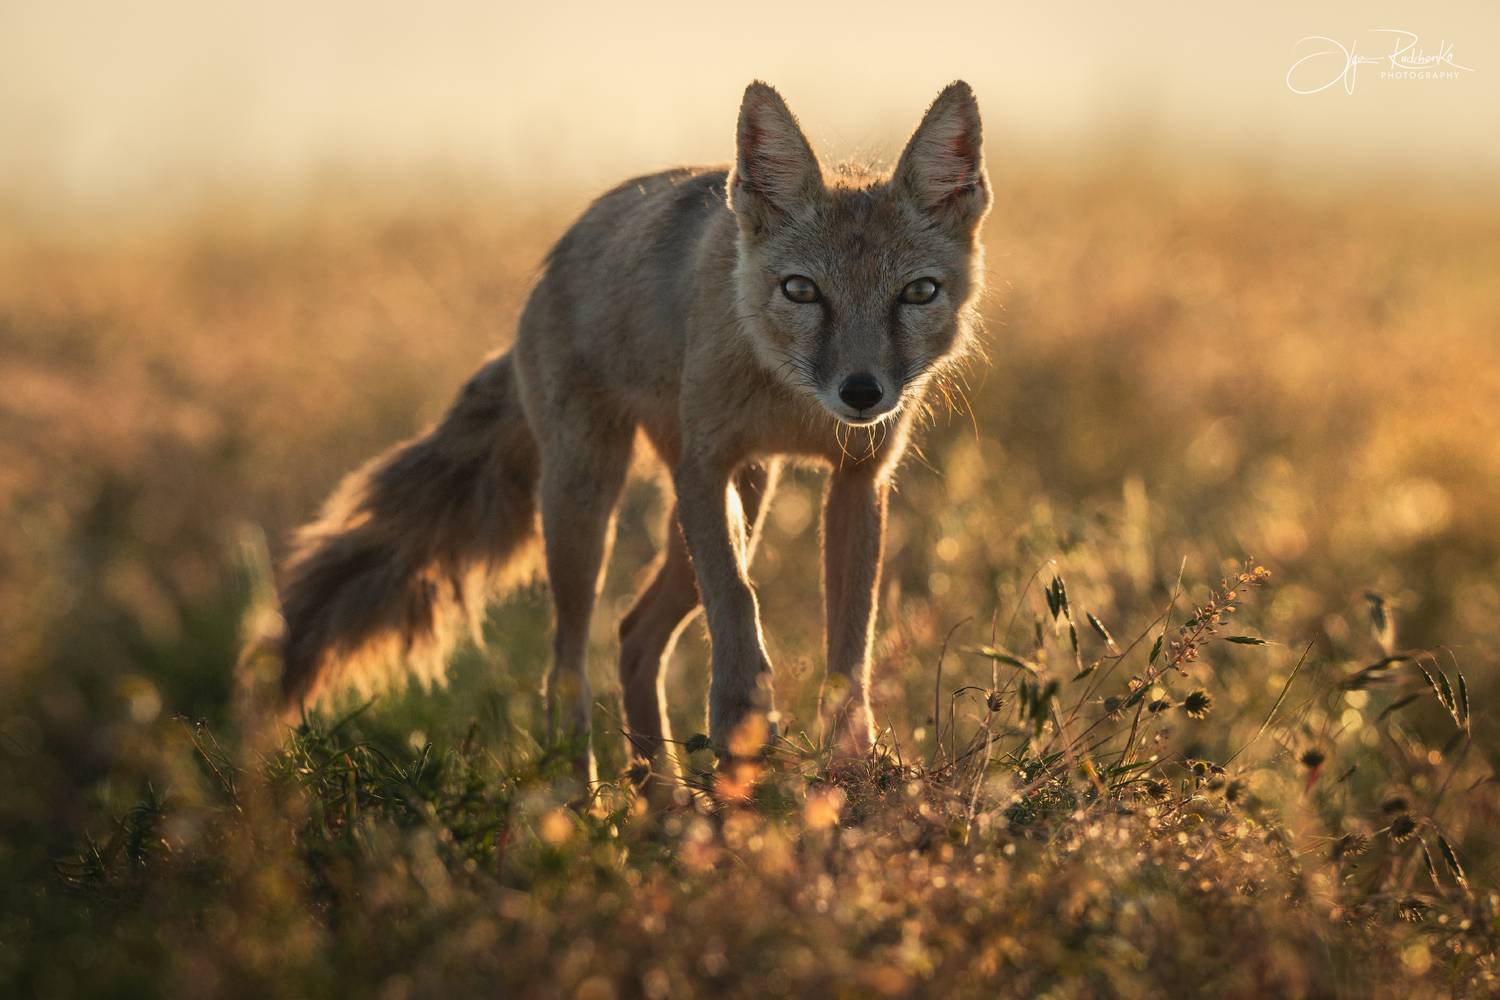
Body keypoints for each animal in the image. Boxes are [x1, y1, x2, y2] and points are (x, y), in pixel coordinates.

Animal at [275, 80, 991, 789]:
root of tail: (555, 259)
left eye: (918, 293)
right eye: (802, 291)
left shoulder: (858, 478)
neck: (794, 405)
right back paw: (581, 793)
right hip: (589, 507)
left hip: (741, 500)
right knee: (566, 663)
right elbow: (737, 598)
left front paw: (850, 762)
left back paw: (662, 794)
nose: (861, 392)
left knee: (632, 635)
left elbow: (850, 642)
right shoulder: (706, 469)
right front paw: (744, 719)